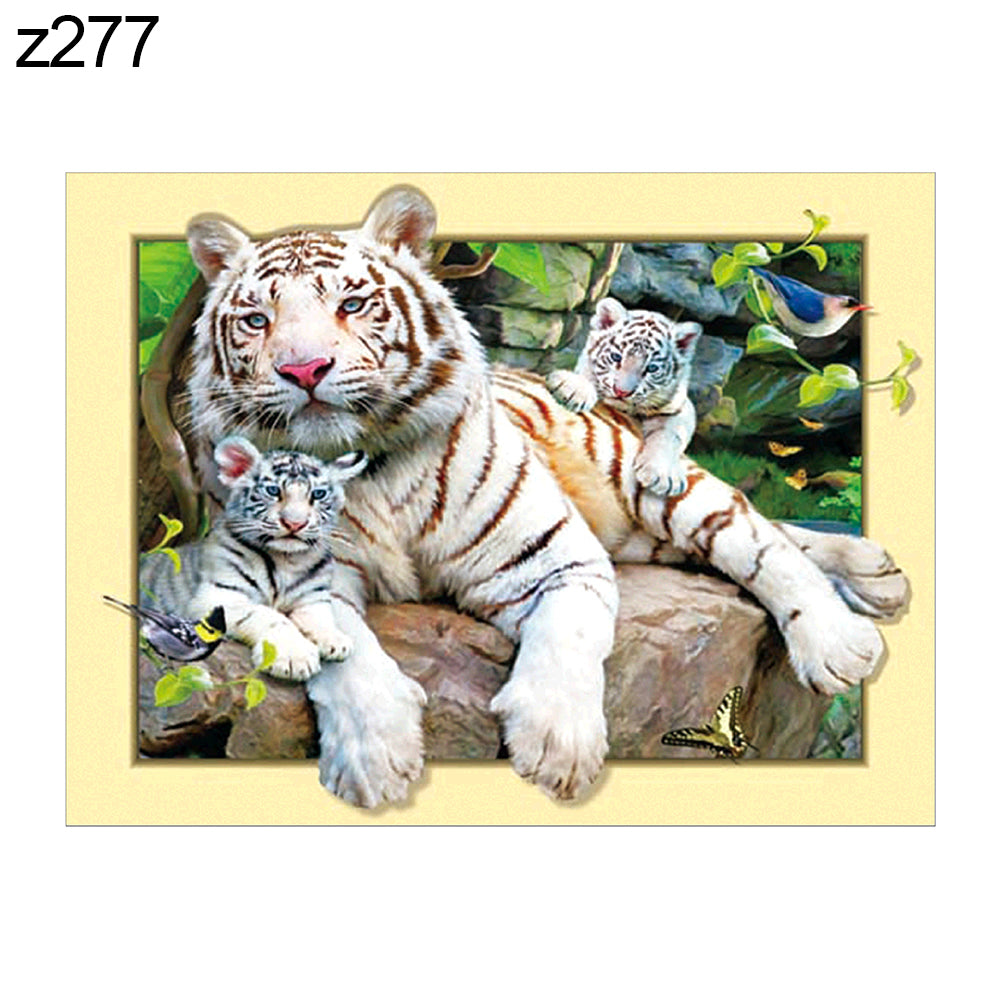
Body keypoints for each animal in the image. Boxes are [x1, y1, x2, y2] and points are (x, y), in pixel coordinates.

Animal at [141, 435, 368, 680]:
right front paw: (294, 657)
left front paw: (335, 639)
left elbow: (319, 615)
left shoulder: (312, 596)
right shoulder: (216, 596)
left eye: (318, 494)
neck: (286, 560)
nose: (295, 524)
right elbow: (268, 615)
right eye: (273, 491)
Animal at [546, 297, 702, 496]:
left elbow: (669, 434)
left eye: (651, 368)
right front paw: (573, 389)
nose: (622, 391)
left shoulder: (681, 407)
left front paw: (662, 475)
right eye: (616, 357)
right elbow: (587, 376)